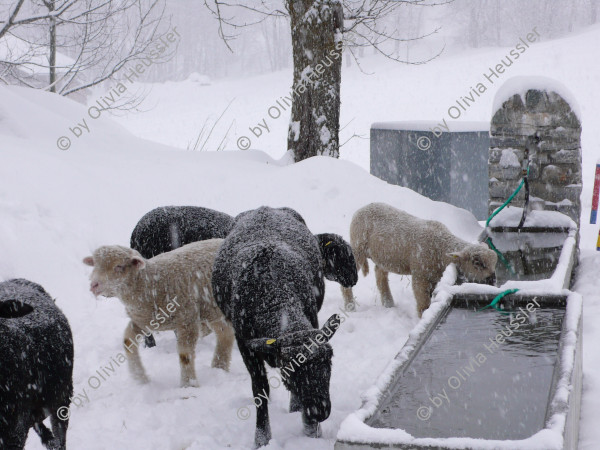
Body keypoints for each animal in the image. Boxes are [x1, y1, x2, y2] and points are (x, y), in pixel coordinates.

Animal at [83, 237, 233, 388]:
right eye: (95, 265)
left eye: (119, 266)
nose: (93, 285)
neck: (150, 285)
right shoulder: (143, 321)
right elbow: (127, 341)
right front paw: (139, 377)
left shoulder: (187, 320)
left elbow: (185, 355)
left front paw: (188, 384)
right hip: (212, 310)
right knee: (225, 333)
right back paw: (219, 366)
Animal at [211, 207, 342, 446]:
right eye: (290, 369)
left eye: (329, 361)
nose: (319, 411)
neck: (275, 293)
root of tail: (264, 208)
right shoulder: (245, 345)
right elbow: (259, 389)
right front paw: (262, 438)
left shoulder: (313, 318)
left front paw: (310, 430)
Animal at [342, 204, 496, 316]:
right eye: (477, 263)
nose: (492, 279)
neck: (441, 247)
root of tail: (363, 208)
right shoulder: (420, 275)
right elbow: (423, 305)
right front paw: (423, 317)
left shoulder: (434, 277)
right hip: (358, 247)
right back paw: (350, 307)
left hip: (384, 257)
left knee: (380, 274)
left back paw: (389, 303)